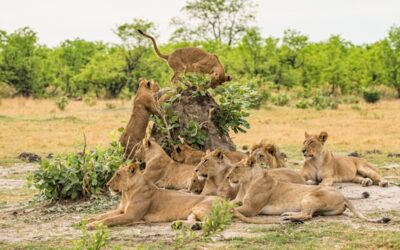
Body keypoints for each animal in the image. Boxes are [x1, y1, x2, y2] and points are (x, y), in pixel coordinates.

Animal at [228, 167, 390, 224]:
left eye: (236, 168)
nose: (228, 177)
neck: (246, 183)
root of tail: (343, 195)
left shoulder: (251, 209)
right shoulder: (241, 202)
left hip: (309, 197)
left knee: (307, 215)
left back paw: (289, 218)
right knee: (311, 214)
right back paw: (288, 215)